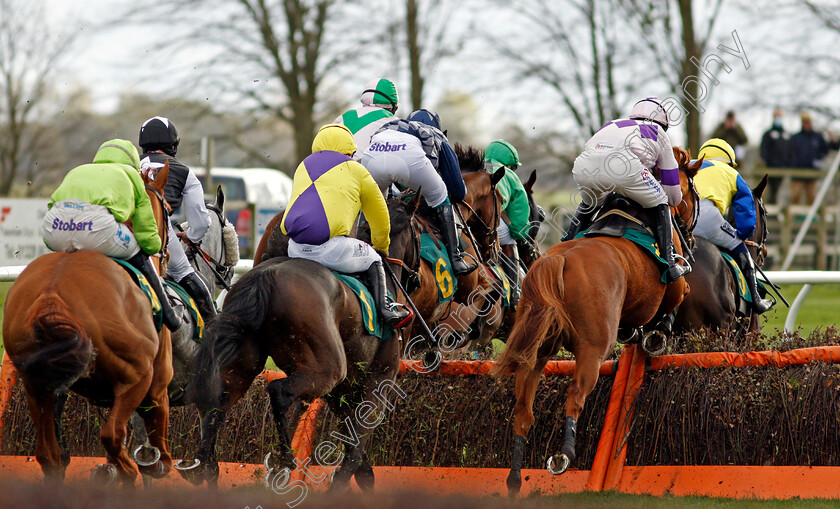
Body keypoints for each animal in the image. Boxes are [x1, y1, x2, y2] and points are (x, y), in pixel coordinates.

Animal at [2, 163, 174, 484]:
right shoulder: (158, 383)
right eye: (168, 209)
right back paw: (130, 472)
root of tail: (51, 294)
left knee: (49, 455)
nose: (166, 252)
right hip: (136, 375)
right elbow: (157, 426)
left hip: (34, 384)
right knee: (112, 436)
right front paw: (156, 463)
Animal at [492, 147, 704, 492]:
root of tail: (559, 260)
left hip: (536, 350)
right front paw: (655, 336)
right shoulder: (675, 285)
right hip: (593, 348)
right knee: (576, 392)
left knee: (523, 409)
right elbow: (673, 300)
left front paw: (636, 334)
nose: (692, 237)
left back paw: (514, 479)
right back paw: (563, 456)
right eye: (695, 194)